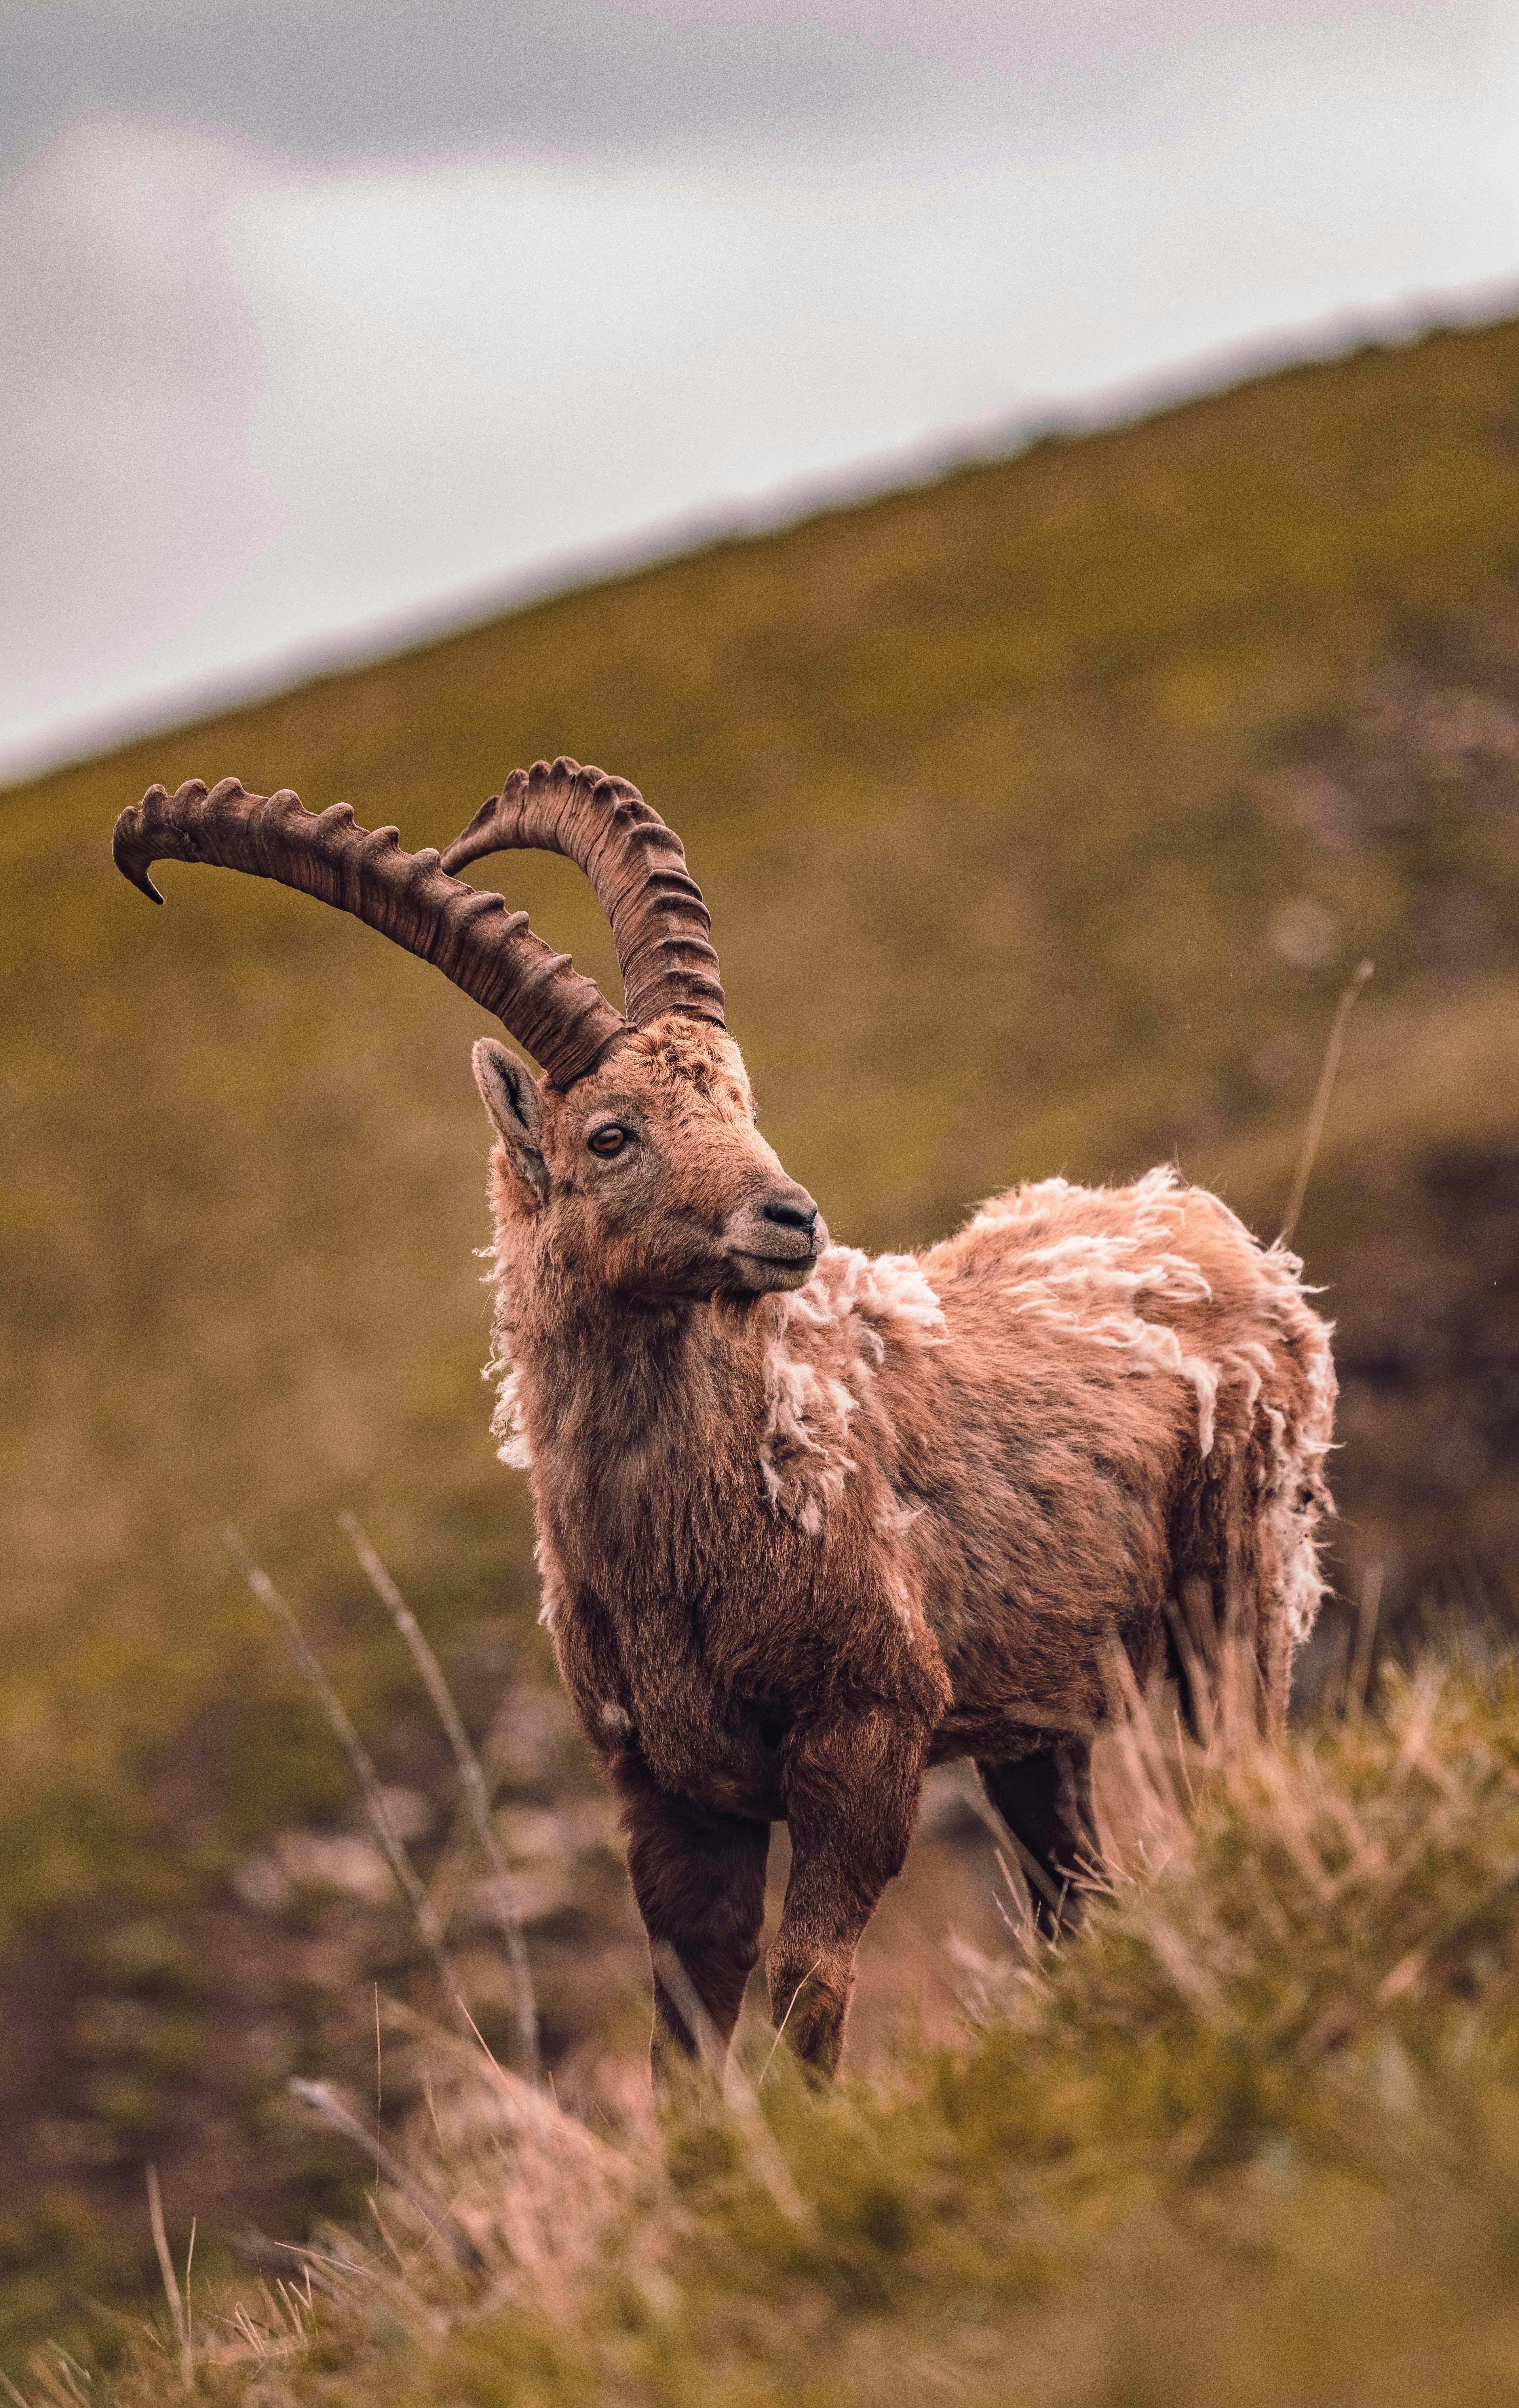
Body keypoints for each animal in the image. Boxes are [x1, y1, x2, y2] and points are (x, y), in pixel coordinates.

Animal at [113, 758, 1335, 2079]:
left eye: (740, 1099)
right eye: (610, 1134)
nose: (789, 1217)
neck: (682, 1543)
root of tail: (1220, 1232)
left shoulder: (865, 1727)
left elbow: (807, 1976)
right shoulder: (664, 1788)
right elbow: (686, 2023)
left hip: (1233, 1594)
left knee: (1234, 1768)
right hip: (1035, 1720)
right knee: (1073, 1889)